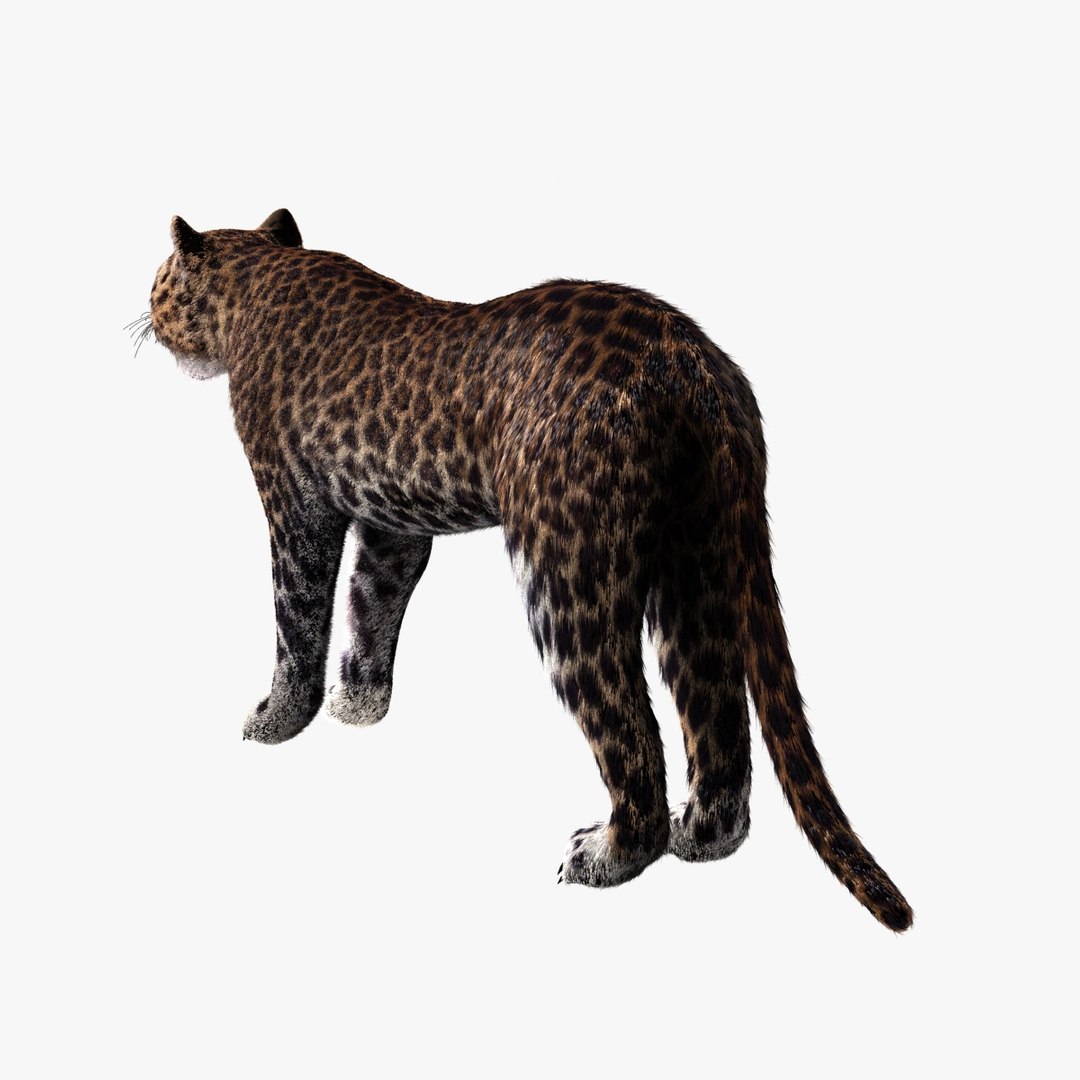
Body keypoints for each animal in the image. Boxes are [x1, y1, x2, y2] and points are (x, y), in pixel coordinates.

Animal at [139, 208, 913, 930]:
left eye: (159, 279)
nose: (147, 316)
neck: (255, 279)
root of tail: (691, 358)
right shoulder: (394, 527)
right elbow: (370, 606)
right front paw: (357, 705)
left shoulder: (296, 504)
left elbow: (297, 614)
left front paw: (275, 719)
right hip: (699, 560)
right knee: (716, 711)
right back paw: (699, 837)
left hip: (566, 568)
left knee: (630, 726)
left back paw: (607, 856)